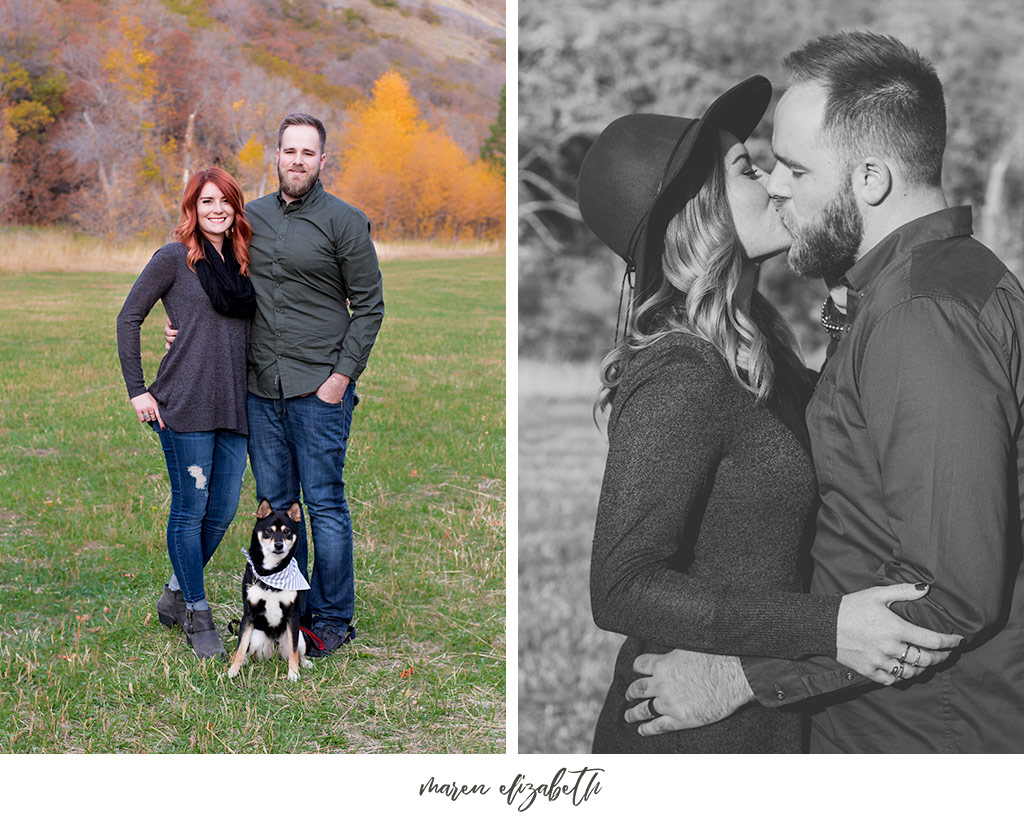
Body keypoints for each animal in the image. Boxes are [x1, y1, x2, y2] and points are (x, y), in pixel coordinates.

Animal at [228, 497, 311, 679]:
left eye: (287, 531)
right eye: (268, 531)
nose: (279, 545)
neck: (271, 572)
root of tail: (275, 652)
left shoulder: (293, 616)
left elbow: (294, 651)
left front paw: (293, 674)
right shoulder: (249, 614)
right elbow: (240, 647)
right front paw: (233, 669)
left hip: (301, 635)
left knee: (297, 651)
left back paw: (304, 662)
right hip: (257, 637)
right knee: (248, 651)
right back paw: (245, 661)